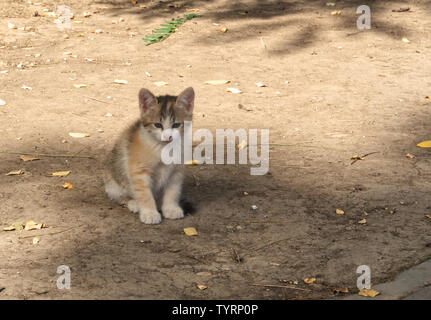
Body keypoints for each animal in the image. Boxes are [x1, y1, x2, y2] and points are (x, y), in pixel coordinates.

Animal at [105, 86, 195, 224]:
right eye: (157, 125)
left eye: (176, 125)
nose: (168, 137)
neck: (163, 148)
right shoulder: (139, 170)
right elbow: (144, 194)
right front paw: (149, 213)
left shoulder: (176, 171)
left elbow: (173, 191)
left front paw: (171, 208)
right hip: (114, 181)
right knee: (122, 195)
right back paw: (134, 203)